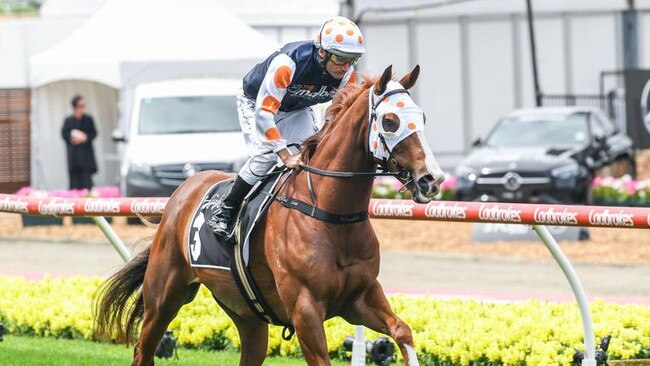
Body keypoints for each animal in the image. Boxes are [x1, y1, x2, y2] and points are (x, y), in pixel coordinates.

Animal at [93, 66, 442, 366]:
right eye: (390, 121)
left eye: (424, 117)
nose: (431, 179)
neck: (331, 214)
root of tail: (183, 190)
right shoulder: (304, 308)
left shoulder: (360, 298)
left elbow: (402, 331)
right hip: (163, 296)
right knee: (143, 350)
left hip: (247, 315)